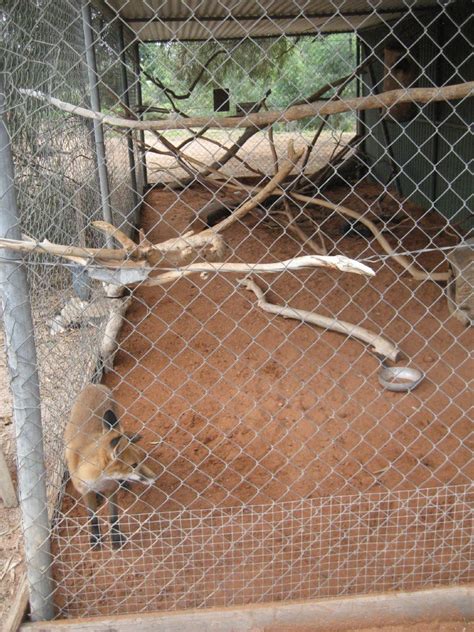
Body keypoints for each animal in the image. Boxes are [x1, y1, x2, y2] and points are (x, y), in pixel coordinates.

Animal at [65, 382, 156, 544]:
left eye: (141, 459)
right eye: (134, 465)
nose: (154, 477)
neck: (98, 480)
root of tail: (94, 384)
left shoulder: (111, 488)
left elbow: (113, 516)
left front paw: (115, 537)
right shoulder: (85, 491)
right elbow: (92, 517)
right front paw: (95, 537)